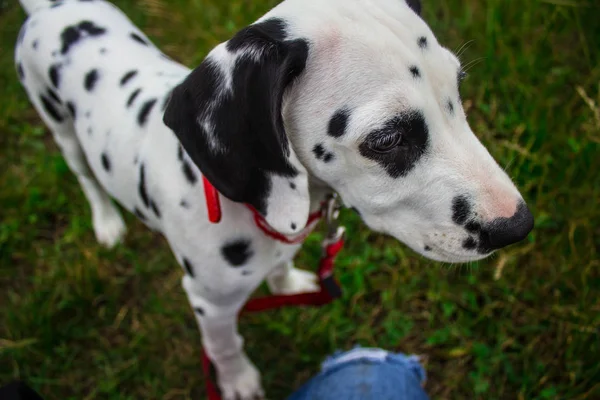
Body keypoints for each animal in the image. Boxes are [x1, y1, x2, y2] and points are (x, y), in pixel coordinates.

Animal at [14, 0, 532, 396]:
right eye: (387, 139)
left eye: (458, 91)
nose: (518, 225)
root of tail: (49, 9)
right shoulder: (209, 303)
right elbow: (226, 347)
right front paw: (239, 380)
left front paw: (285, 283)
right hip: (61, 129)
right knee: (85, 178)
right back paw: (106, 222)